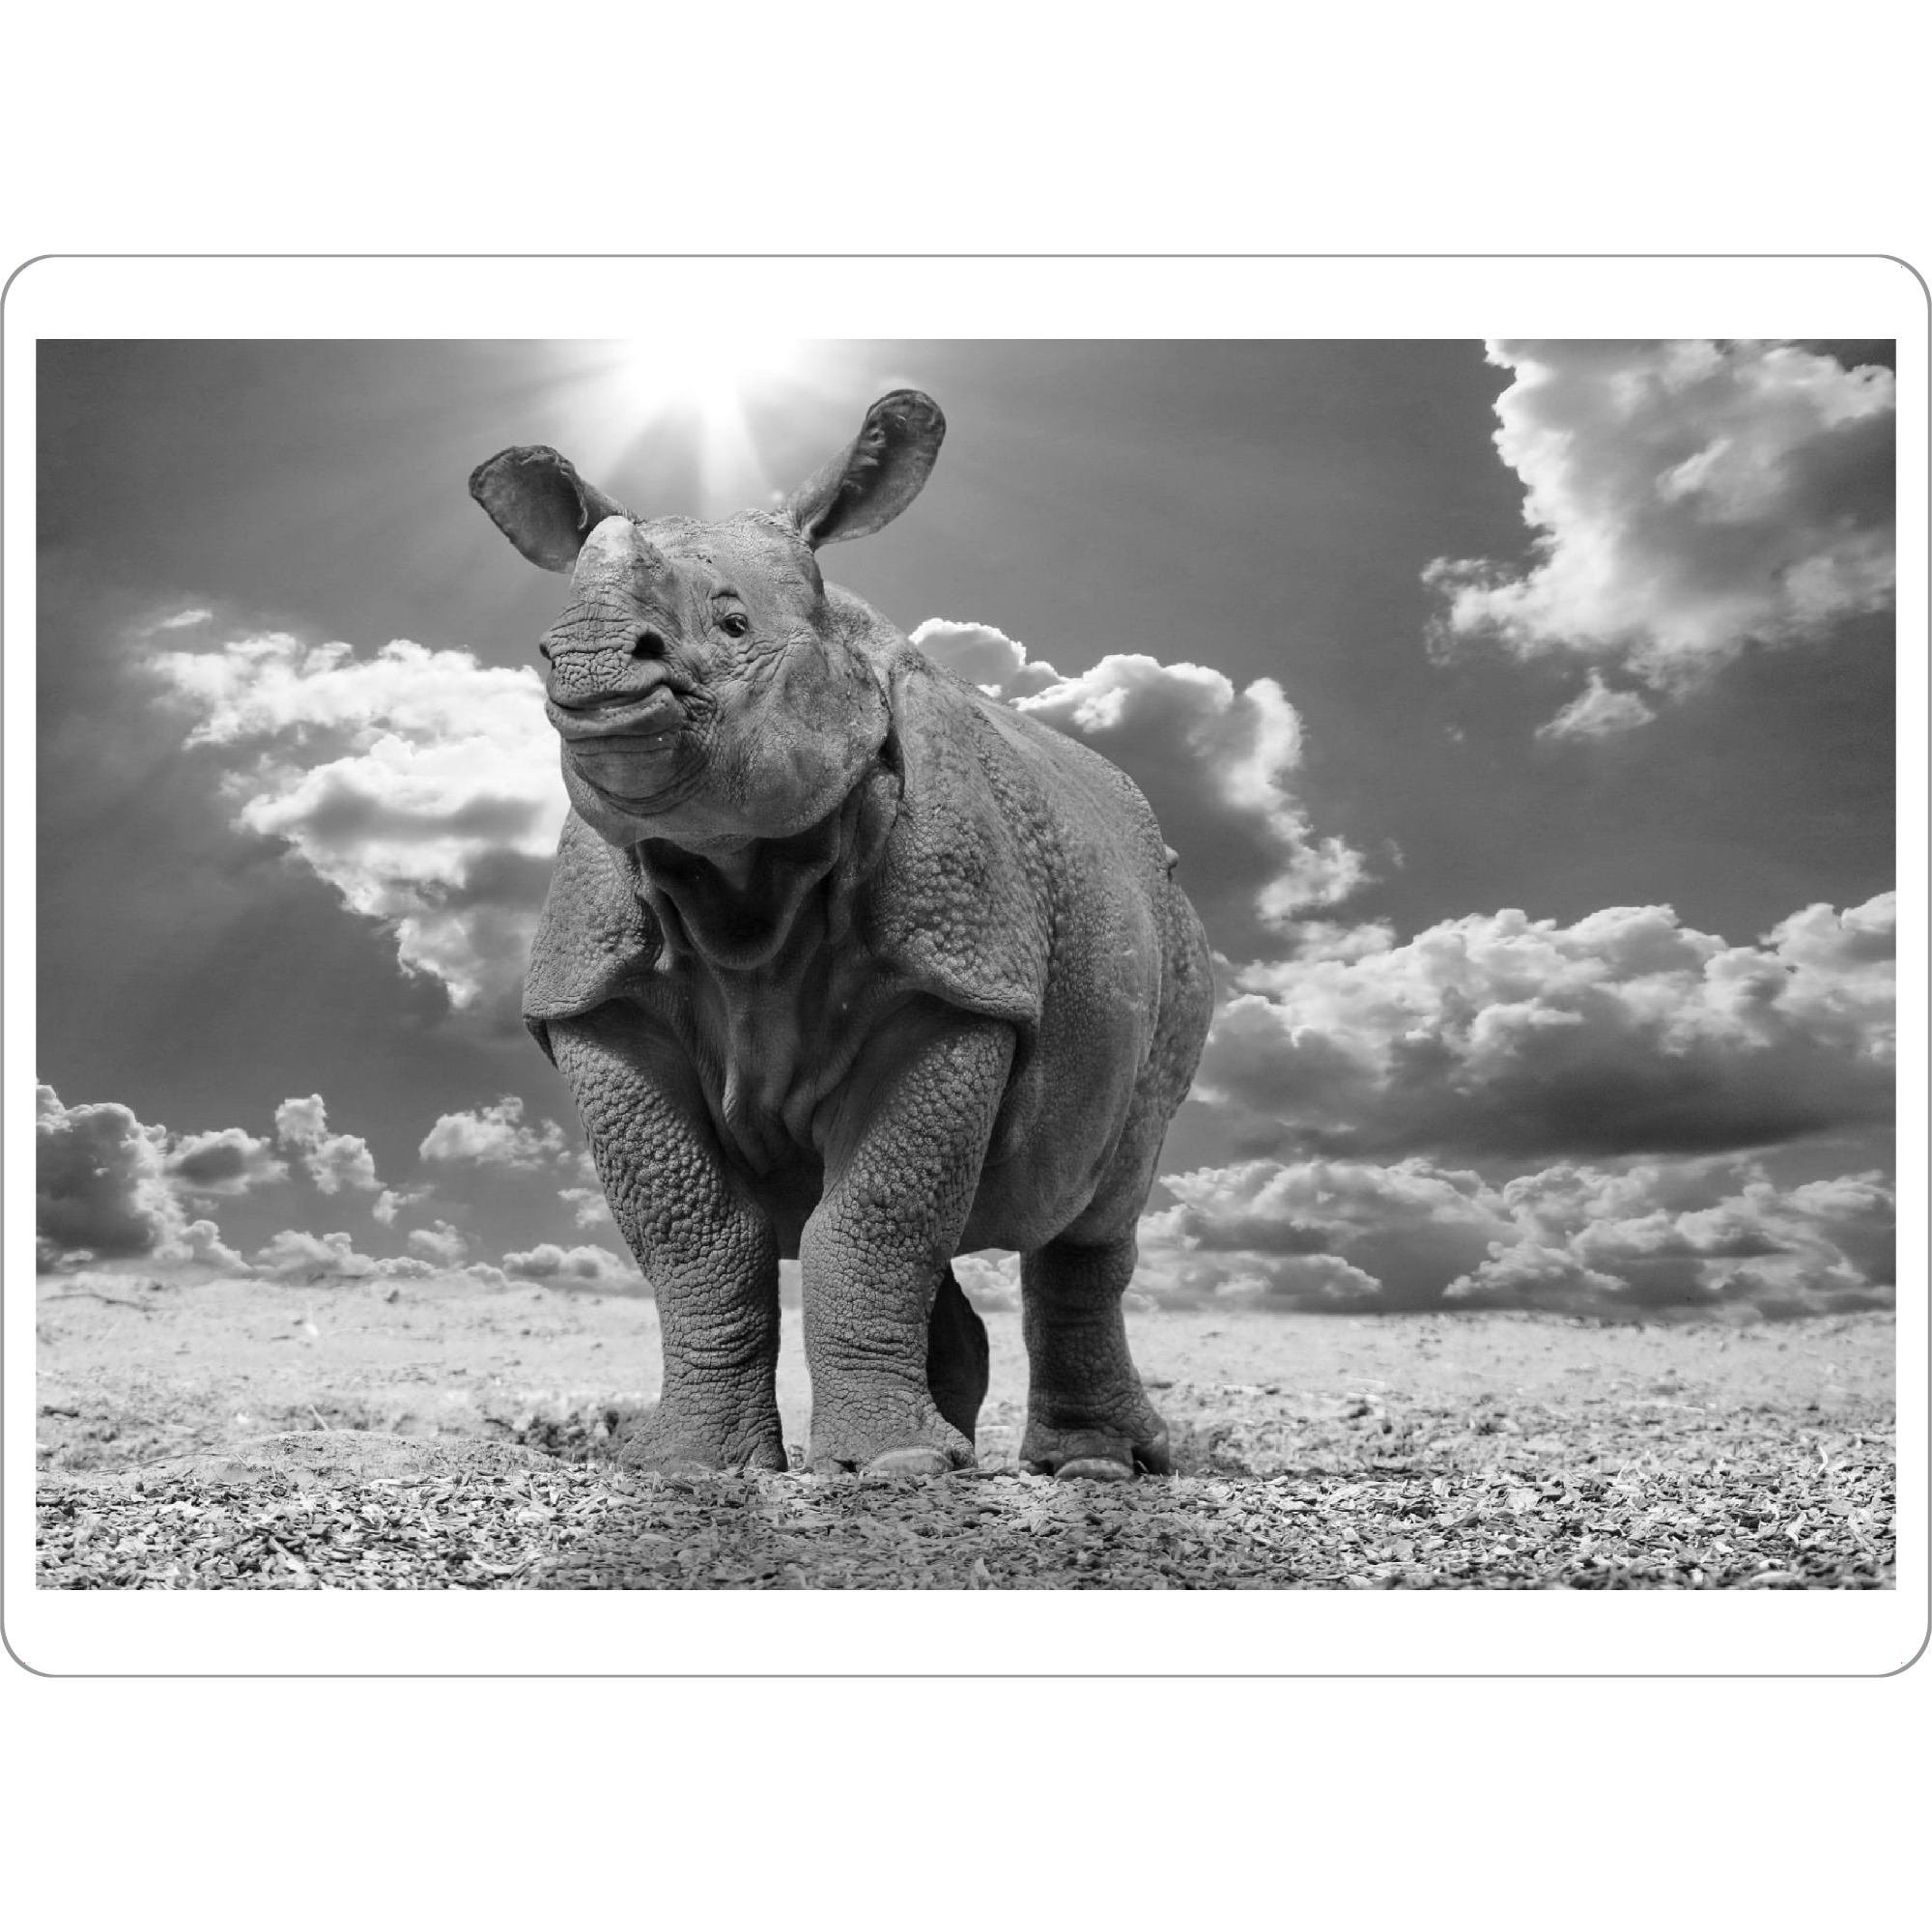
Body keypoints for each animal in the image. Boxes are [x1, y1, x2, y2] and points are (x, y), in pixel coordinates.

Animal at [470, 390, 1213, 1480]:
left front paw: (893, 1470)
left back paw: (1090, 1466)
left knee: (1101, 1196)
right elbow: (703, 1236)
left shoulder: (955, 978)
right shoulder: (596, 1000)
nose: (594, 672)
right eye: (542, 648)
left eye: (735, 623)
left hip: (1177, 938)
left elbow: (872, 1222)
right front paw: (693, 1465)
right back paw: (960, 1442)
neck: (737, 870)